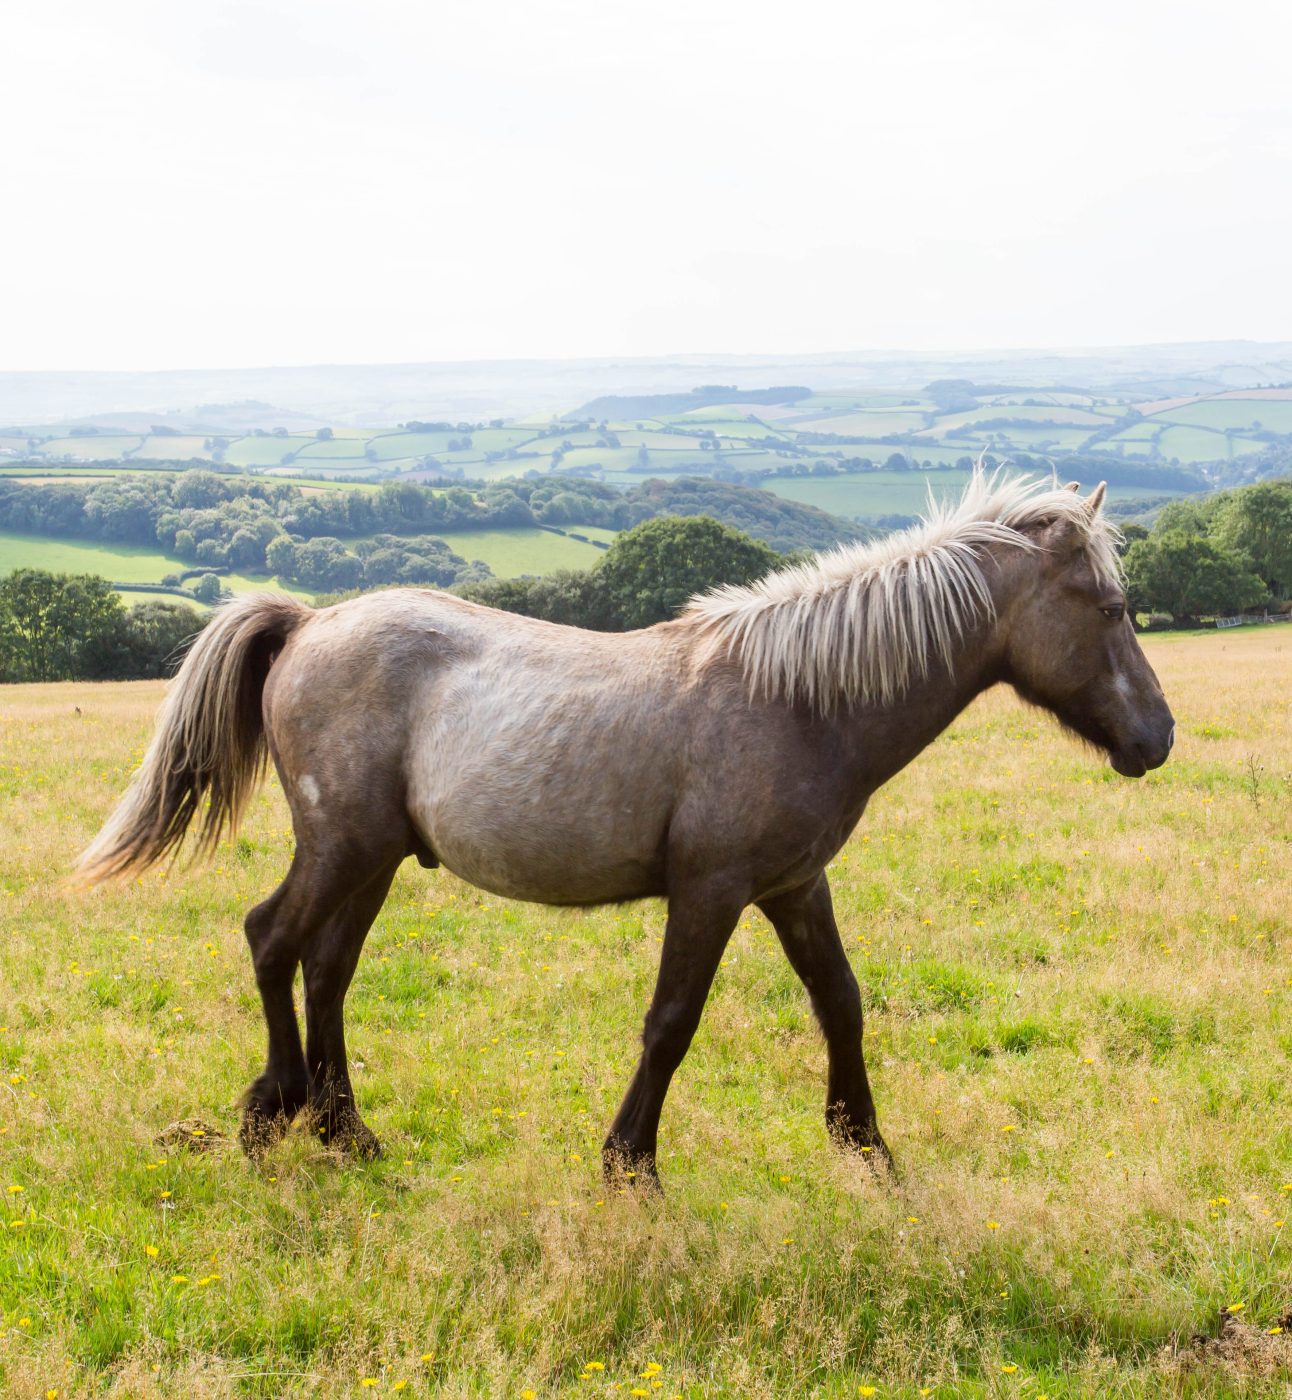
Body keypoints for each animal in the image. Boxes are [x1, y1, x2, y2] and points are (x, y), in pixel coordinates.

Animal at [75, 473, 1175, 1181]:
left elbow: (842, 1003)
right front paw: (629, 1163)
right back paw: (272, 1115)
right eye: (1109, 605)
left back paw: (347, 1133)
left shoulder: (792, 886)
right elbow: (671, 1021)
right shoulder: (711, 889)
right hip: (341, 845)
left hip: (375, 859)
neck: (796, 696)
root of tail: (309, 622)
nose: (1156, 737)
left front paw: (867, 1148)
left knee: (326, 968)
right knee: (272, 940)